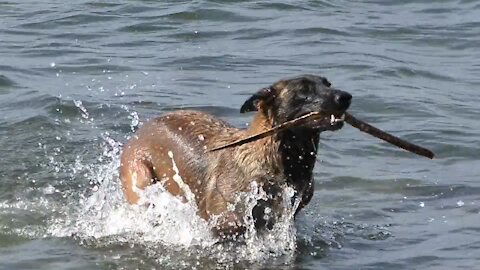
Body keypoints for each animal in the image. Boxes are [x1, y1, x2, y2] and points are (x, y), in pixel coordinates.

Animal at [120, 75, 352, 237]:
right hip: (142, 184)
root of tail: (139, 132)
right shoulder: (225, 226)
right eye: (303, 90)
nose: (345, 97)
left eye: (328, 84)